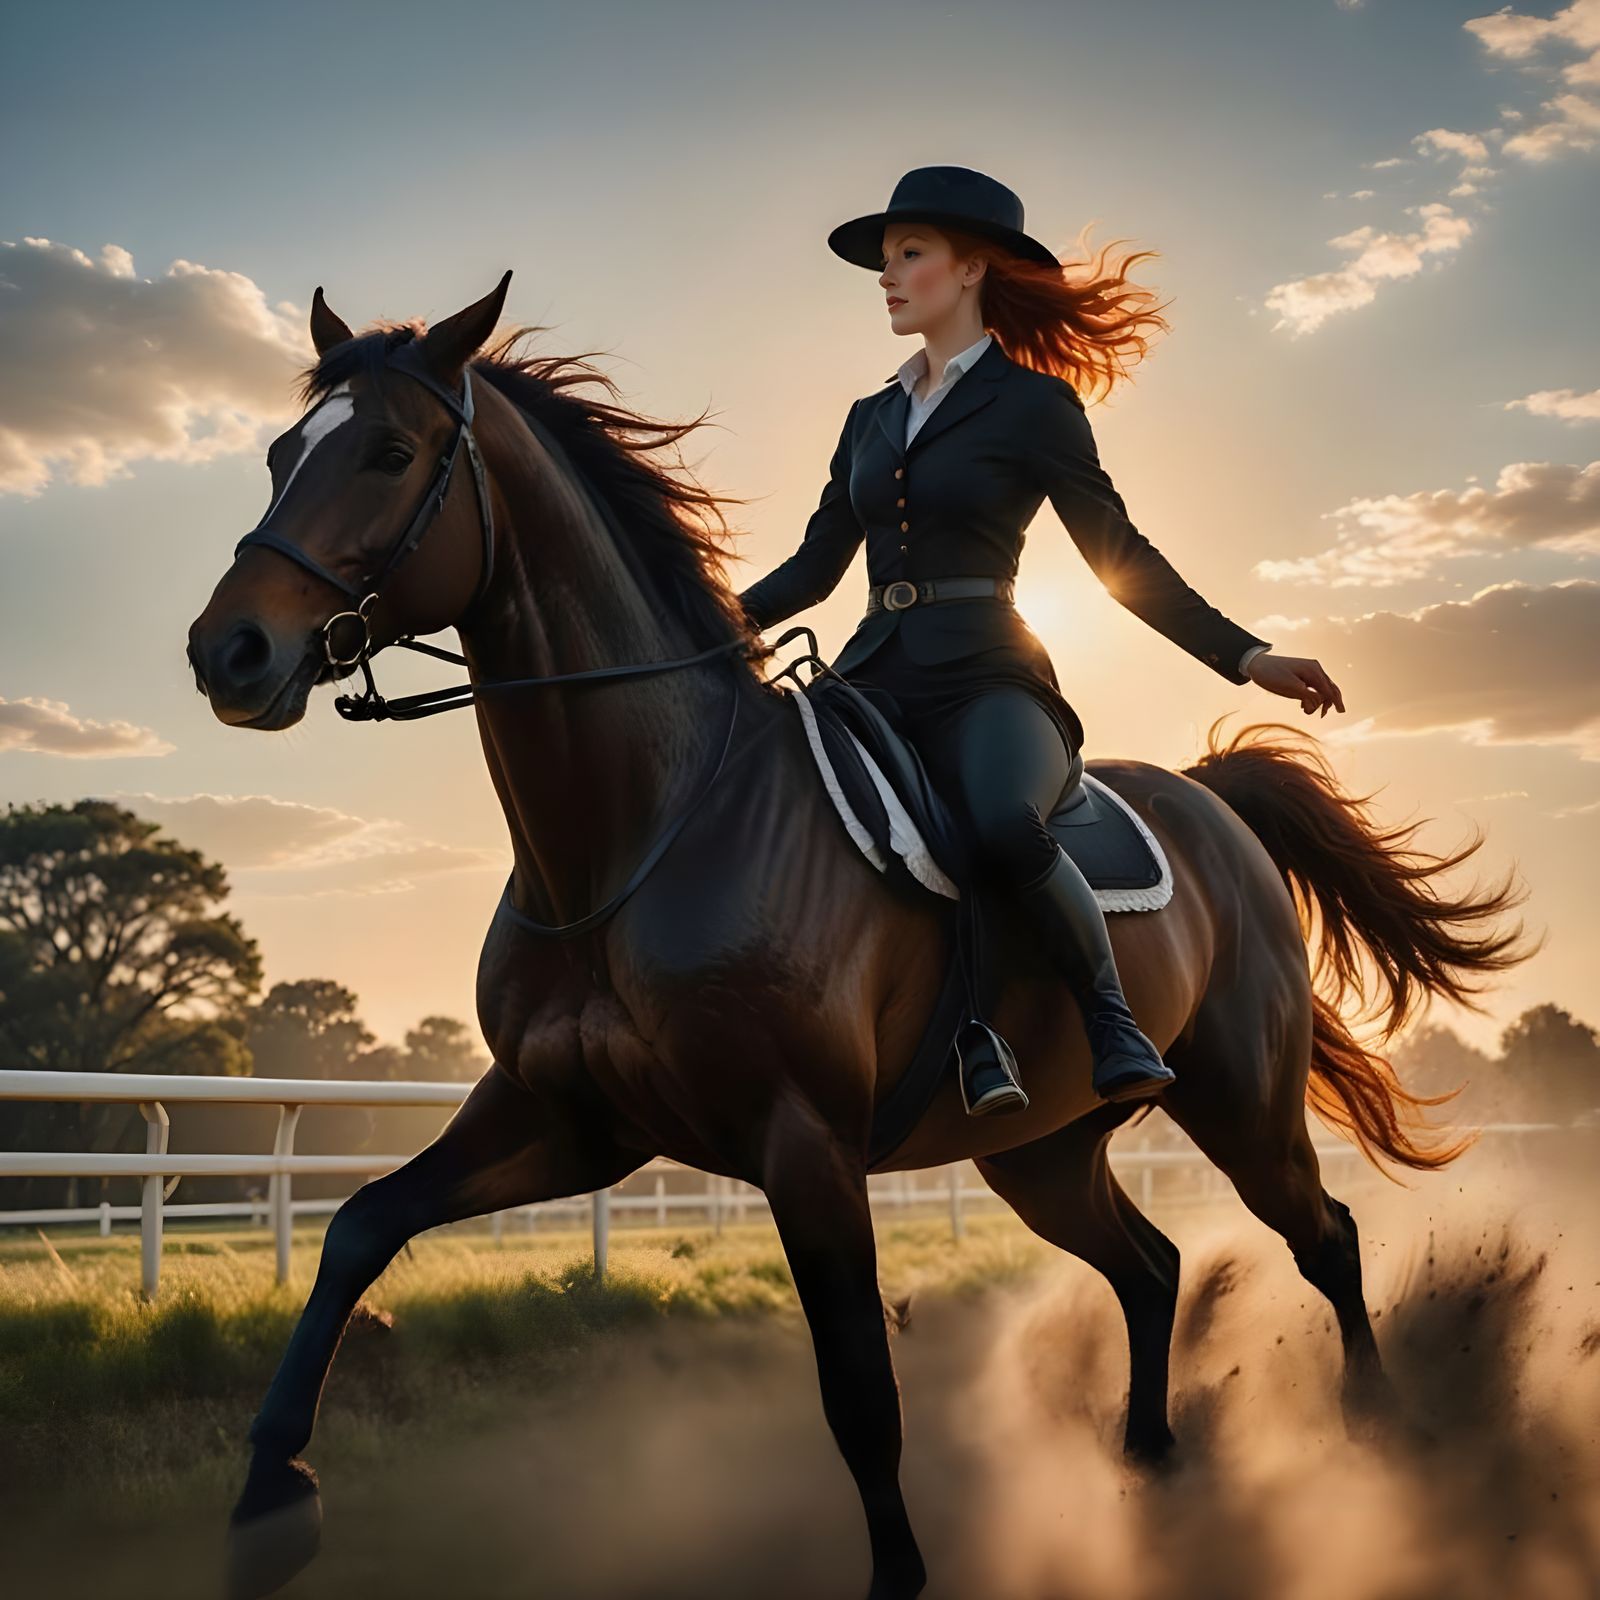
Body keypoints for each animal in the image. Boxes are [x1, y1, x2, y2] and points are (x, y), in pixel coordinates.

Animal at [186, 271, 1530, 1600]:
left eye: (389, 450)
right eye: (277, 455)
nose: (226, 651)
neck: (642, 832)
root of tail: (1208, 798)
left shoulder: (805, 1145)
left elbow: (858, 1392)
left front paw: (897, 1577)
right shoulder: (565, 1119)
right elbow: (360, 1227)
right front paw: (267, 1500)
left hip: (1239, 1100)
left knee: (1325, 1239)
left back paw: (1379, 1442)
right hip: (1042, 1152)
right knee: (1149, 1266)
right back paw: (1149, 1462)